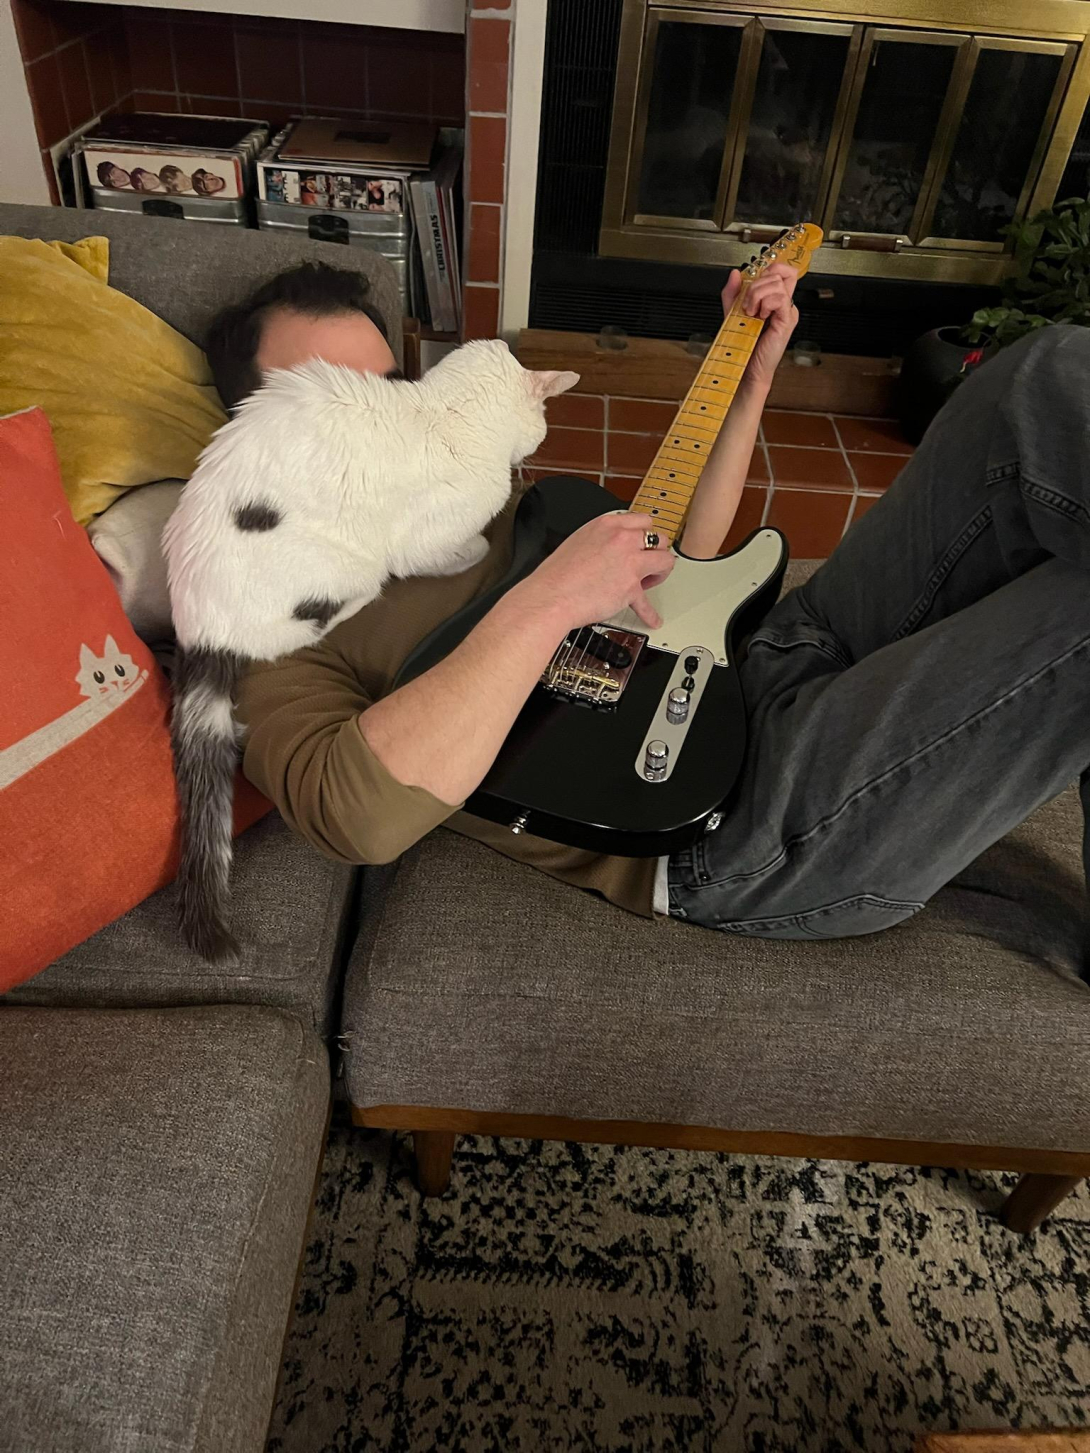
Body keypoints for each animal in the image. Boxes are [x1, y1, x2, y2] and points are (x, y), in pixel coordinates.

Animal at [163, 337, 579, 964]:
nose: (534, 452)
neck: (442, 413)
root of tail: (200, 630)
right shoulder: (426, 544)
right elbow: (462, 550)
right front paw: (484, 547)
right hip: (343, 569)